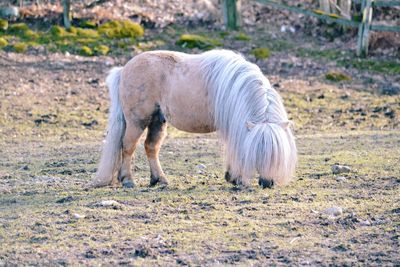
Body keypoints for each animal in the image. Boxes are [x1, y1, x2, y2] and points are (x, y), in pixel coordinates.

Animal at [91, 49, 296, 189]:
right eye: (259, 152)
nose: (267, 183)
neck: (236, 87)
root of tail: (124, 69)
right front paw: (235, 178)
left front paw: (232, 177)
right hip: (137, 121)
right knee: (128, 147)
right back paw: (128, 180)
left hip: (157, 121)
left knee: (151, 148)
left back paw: (159, 180)